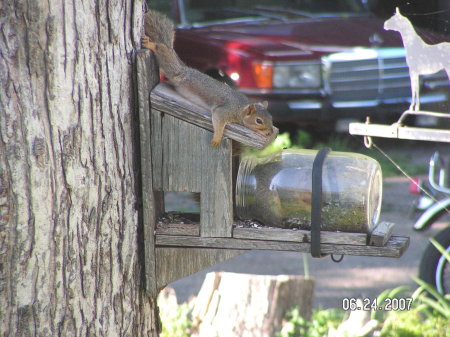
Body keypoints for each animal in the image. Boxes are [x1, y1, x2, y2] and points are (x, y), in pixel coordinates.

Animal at [142, 9, 274, 146]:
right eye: (259, 121)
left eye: (271, 118)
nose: (270, 133)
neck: (240, 107)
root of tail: (185, 68)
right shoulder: (225, 111)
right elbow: (219, 120)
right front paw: (216, 139)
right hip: (174, 69)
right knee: (162, 50)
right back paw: (150, 44)